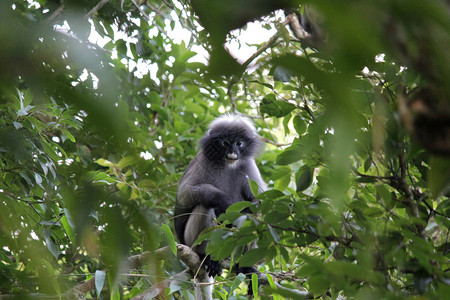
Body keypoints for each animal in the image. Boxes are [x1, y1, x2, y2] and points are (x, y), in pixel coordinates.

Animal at [173, 113, 266, 278]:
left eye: (239, 143)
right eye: (225, 143)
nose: (233, 151)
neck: (227, 164)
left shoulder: (248, 164)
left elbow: (259, 201)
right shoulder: (203, 158)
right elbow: (184, 194)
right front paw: (224, 202)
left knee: (252, 216)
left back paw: (243, 265)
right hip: (191, 242)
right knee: (205, 205)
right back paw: (207, 257)